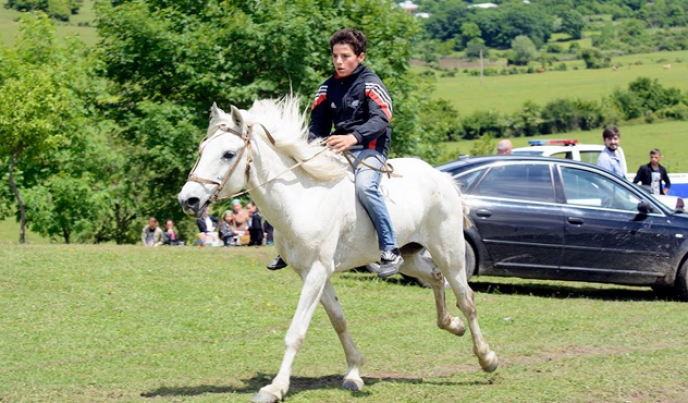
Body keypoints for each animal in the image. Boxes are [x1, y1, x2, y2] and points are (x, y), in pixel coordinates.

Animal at [177, 96, 500, 402]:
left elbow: (297, 331)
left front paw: (275, 388)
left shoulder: (318, 271)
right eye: (202, 149)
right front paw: (354, 371)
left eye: (228, 154)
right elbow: (339, 321)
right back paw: (452, 324)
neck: (300, 199)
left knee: (466, 299)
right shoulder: (312, 273)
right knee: (434, 277)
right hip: (408, 256)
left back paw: (487, 357)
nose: (188, 200)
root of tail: (441, 176)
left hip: (449, 251)